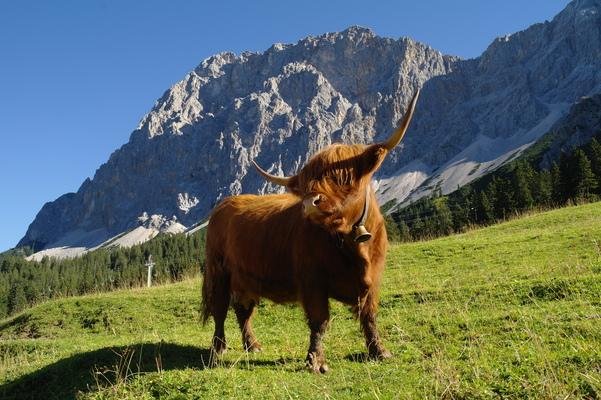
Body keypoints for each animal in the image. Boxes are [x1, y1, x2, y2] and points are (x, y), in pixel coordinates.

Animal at [200, 90, 418, 372]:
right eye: (306, 183)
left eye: (343, 176)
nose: (309, 203)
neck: (351, 244)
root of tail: (225, 204)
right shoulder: (312, 280)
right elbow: (320, 321)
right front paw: (316, 361)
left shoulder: (374, 279)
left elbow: (369, 316)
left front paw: (379, 351)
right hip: (218, 272)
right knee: (219, 311)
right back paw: (218, 350)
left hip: (246, 278)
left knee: (243, 309)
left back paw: (252, 345)